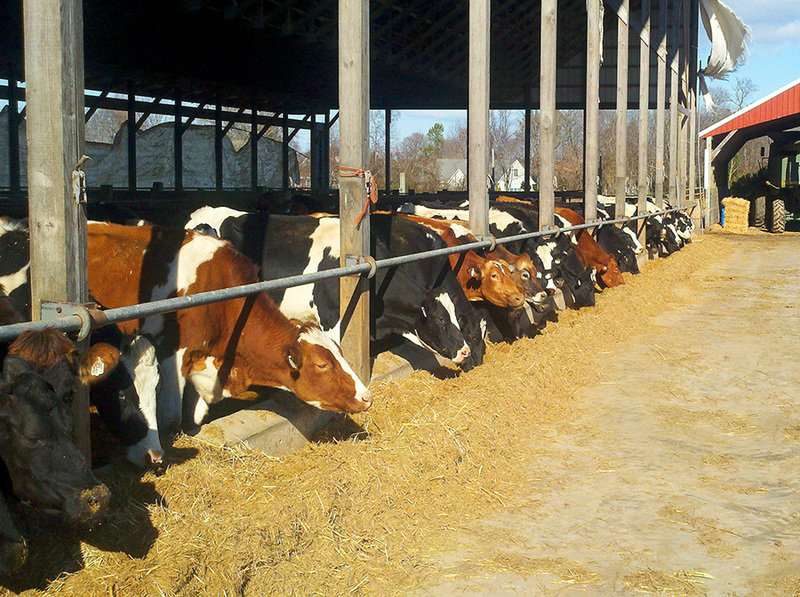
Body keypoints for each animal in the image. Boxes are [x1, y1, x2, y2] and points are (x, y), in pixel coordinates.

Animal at [86, 222, 373, 431]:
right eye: (322, 365)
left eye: (341, 354)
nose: (366, 397)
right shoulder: (171, 355)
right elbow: (170, 418)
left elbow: (197, 416)